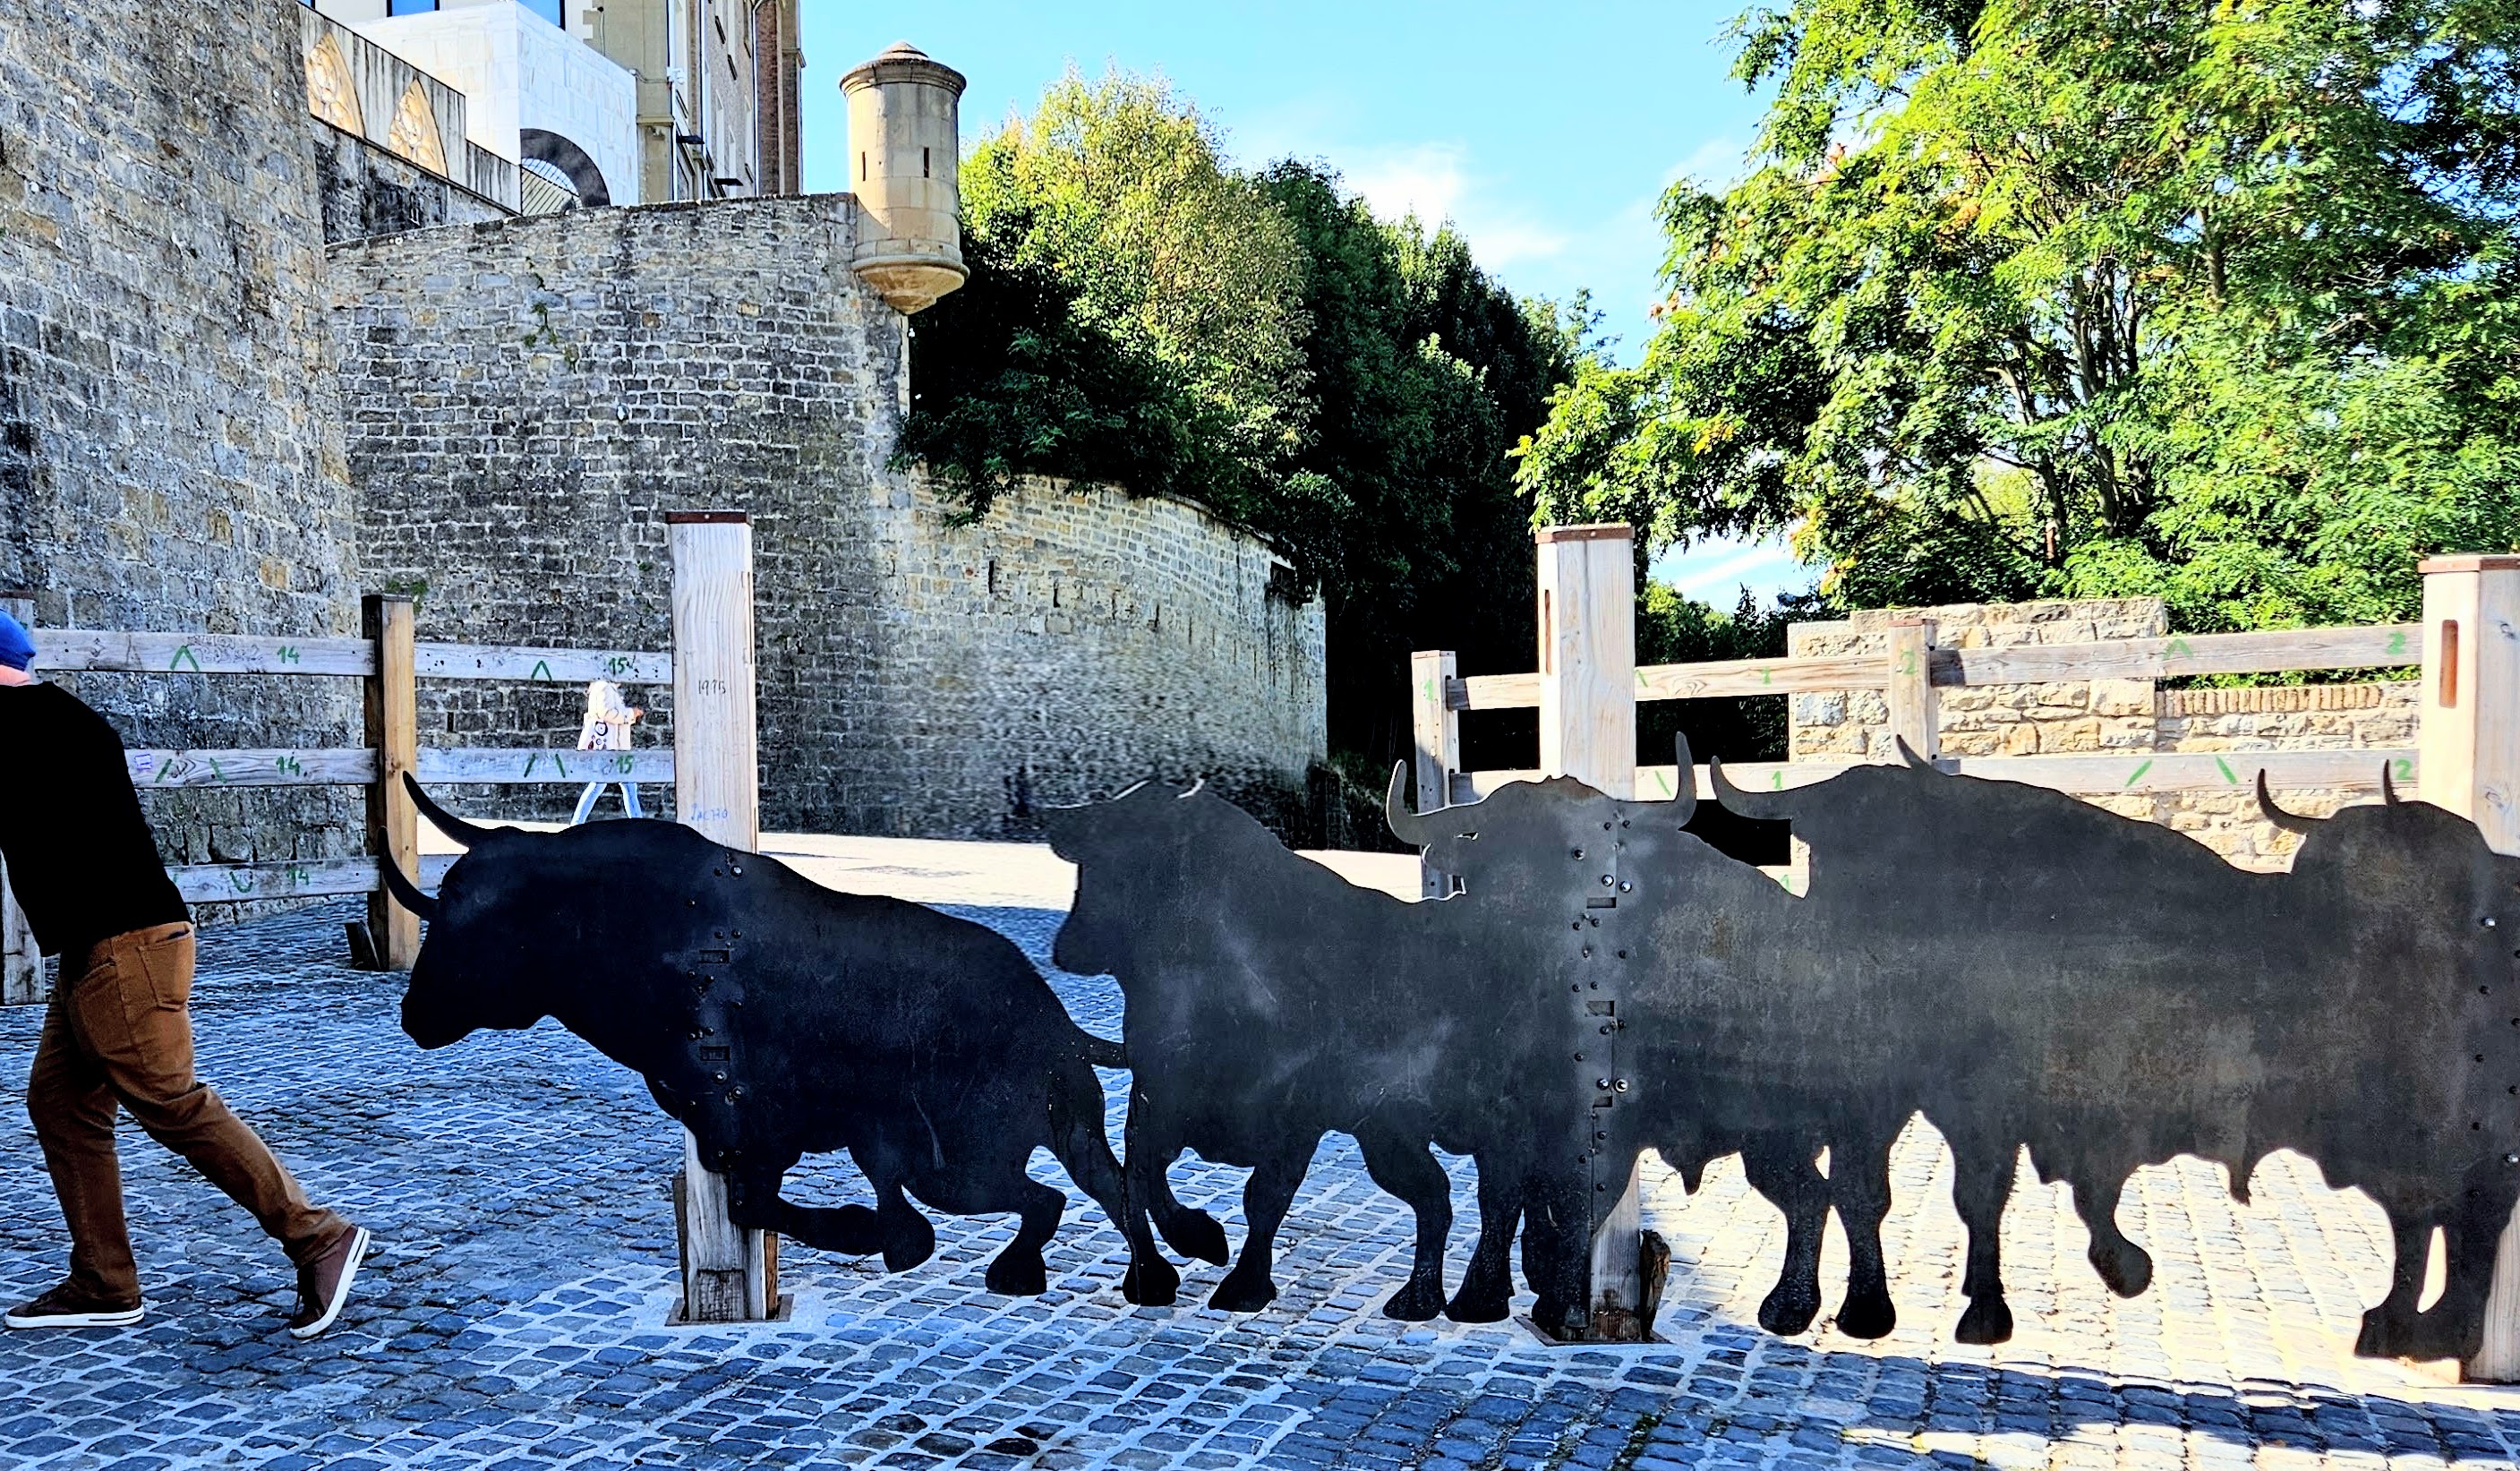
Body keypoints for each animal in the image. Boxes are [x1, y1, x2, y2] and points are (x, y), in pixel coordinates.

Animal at [381, 776, 1184, 1297]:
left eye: (466, 918)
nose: (412, 1016)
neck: (625, 925)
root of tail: (1056, 1023)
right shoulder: (732, 1131)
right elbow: (757, 1203)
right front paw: (885, 1236)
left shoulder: (746, 1122)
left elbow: (759, 1205)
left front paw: (874, 1234)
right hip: (1025, 1139)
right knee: (1096, 1190)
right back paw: (1134, 1277)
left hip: (958, 1160)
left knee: (1055, 1197)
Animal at [1046, 780, 1574, 1325]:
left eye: (1132, 827)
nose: (1059, 819)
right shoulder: (1154, 1099)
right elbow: (1141, 1178)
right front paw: (1192, 1247)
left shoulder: (1297, 1116)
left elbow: (1264, 1197)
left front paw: (1243, 1285)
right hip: (1392, 1135)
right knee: (1444, 1198)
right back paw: (1429, 1297)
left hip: (1498, 1122)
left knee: (1505, 1195)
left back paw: (1485, 1295)